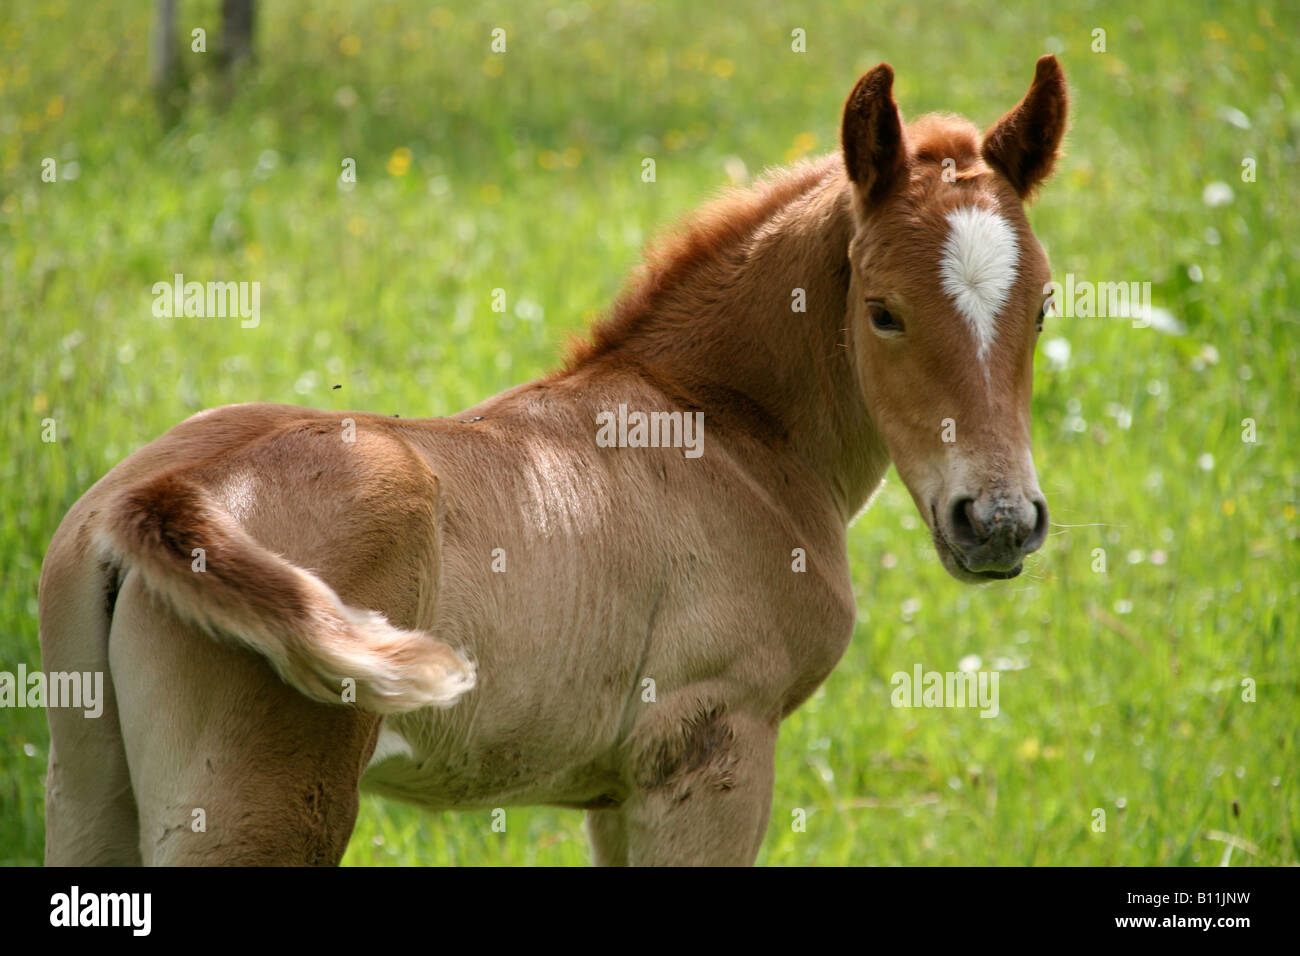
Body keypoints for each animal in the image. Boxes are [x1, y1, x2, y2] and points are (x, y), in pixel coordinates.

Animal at [43, 59, 1066, 868]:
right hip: (258, 810)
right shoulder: (710, 756)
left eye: (1047, 305)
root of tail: (164, 496)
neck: (717, 423)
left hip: (90, 795)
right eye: (884, 311)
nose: (998, 523)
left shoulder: (616, 793)